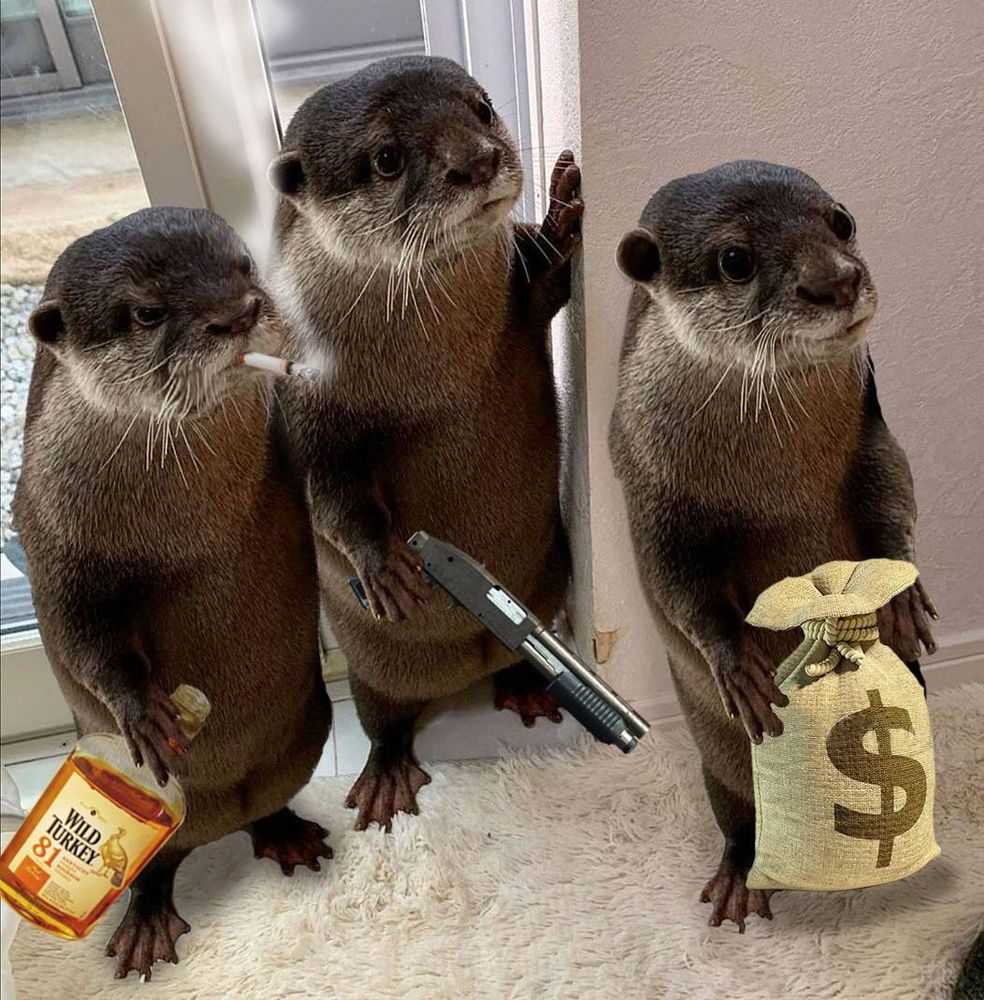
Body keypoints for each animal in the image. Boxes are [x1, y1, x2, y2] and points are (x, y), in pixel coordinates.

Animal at [12, 207, 332, 979]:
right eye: (147, 312)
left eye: (244, 265)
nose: (238, 312)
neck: (180, 528)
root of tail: (221, 823)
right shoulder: (51, 532)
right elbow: (81, 633)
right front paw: (145, 712)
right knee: (157, 864)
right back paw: (145, 920)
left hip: (300, 746)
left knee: (265, 806)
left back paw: (283, 831)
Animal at [268, 56, 582, 829]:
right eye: (385, 158)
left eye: (481, 107)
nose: (477, 160)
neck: (433, 369)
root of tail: (467, 666)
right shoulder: (307, 397)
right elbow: (329, 490)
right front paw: (384, 565)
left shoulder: (513, 304)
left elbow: (543, 289)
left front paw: (563, 210)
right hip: (372, 668)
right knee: (385, 719)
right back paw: (386, 776)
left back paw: (525, 685)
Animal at [609, 161, 937, 931]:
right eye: (735, 259)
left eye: (841, 220)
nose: (836, 281)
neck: (770, 477)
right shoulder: (650, 489)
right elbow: (679, 585)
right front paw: (737, 665)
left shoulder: (871, 432)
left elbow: (893, 492)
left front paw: (904, 593)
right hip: (720, 767)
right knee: (737, 816)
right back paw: (741, 878)